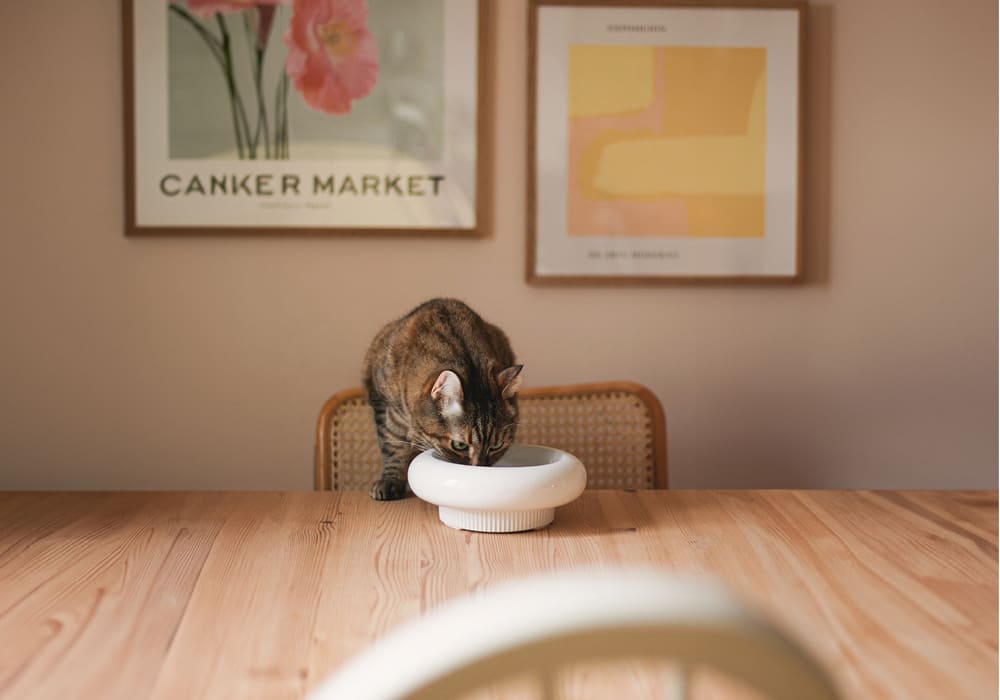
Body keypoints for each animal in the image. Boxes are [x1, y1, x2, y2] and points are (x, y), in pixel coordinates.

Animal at [362, 298, 523, 501]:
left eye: (496, 446)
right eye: (459, 445)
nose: (479, 469)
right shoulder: (382, 402)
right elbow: (393, 445)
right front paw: (390, 481)